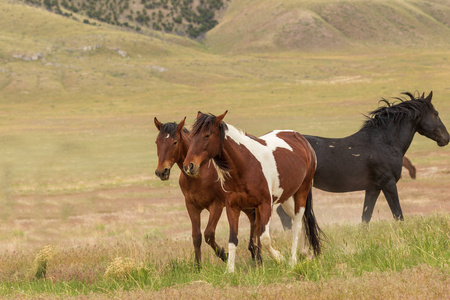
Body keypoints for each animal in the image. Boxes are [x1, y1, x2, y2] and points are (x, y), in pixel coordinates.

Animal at [154, 116, 256, 268]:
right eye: (157, 142)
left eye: (175, 142)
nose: (161, 171)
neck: (200, 174)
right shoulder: (191, 206)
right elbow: (196, 236)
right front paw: (198, 266)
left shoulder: (217, 205)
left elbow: (208, 234)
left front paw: (224, 255)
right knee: (252, 218)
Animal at [184, 111, 324, 274]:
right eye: (191, 135)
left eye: (207, 135)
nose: (189, 166)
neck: (246, 165)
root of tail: (301, 139)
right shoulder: (233, 207)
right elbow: (233, 239)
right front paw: (230, 270)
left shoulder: (265, 205)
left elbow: (264, 238)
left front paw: (279, 258)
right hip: (287, 198)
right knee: (300, 221)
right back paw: (305, 254)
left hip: (302, 191)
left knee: (297, 225)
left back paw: (292, 260)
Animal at [276, 91, 448, 225]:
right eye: (436, 114)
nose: (446, 138)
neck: (384, 141)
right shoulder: (389, 184)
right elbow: (398, 215)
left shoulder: (373, 188)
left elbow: (366, 217)